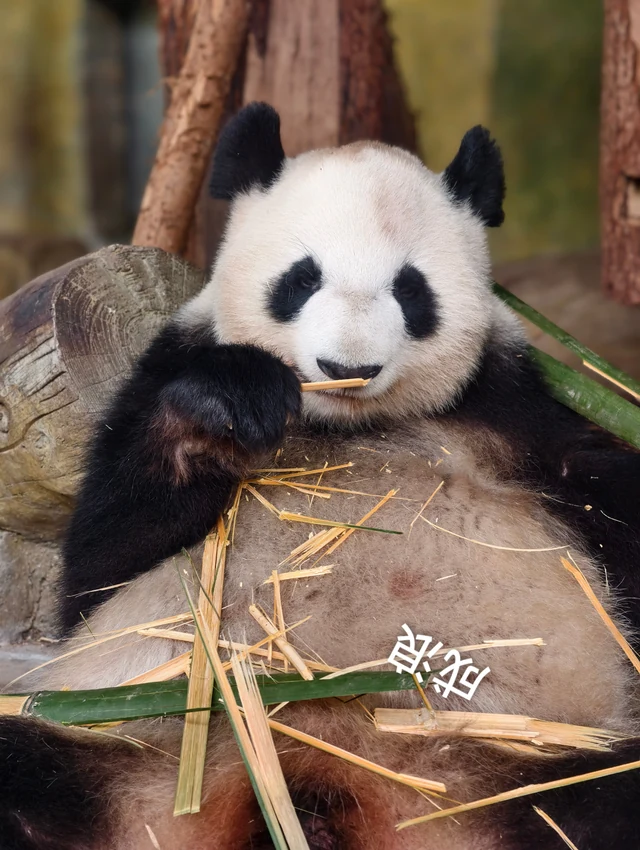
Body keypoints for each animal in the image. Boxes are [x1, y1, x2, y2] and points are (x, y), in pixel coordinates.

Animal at [2, 102, 640, 850]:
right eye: (301, 279)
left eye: (411, 289)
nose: (346, 367)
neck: (343, 424)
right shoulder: (162, 373)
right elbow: (103, 561)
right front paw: (227, 407)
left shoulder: (513, 412)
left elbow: (603, 492)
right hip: (137, 760)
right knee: (27, 772)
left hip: (518, 763)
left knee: (601, 795)